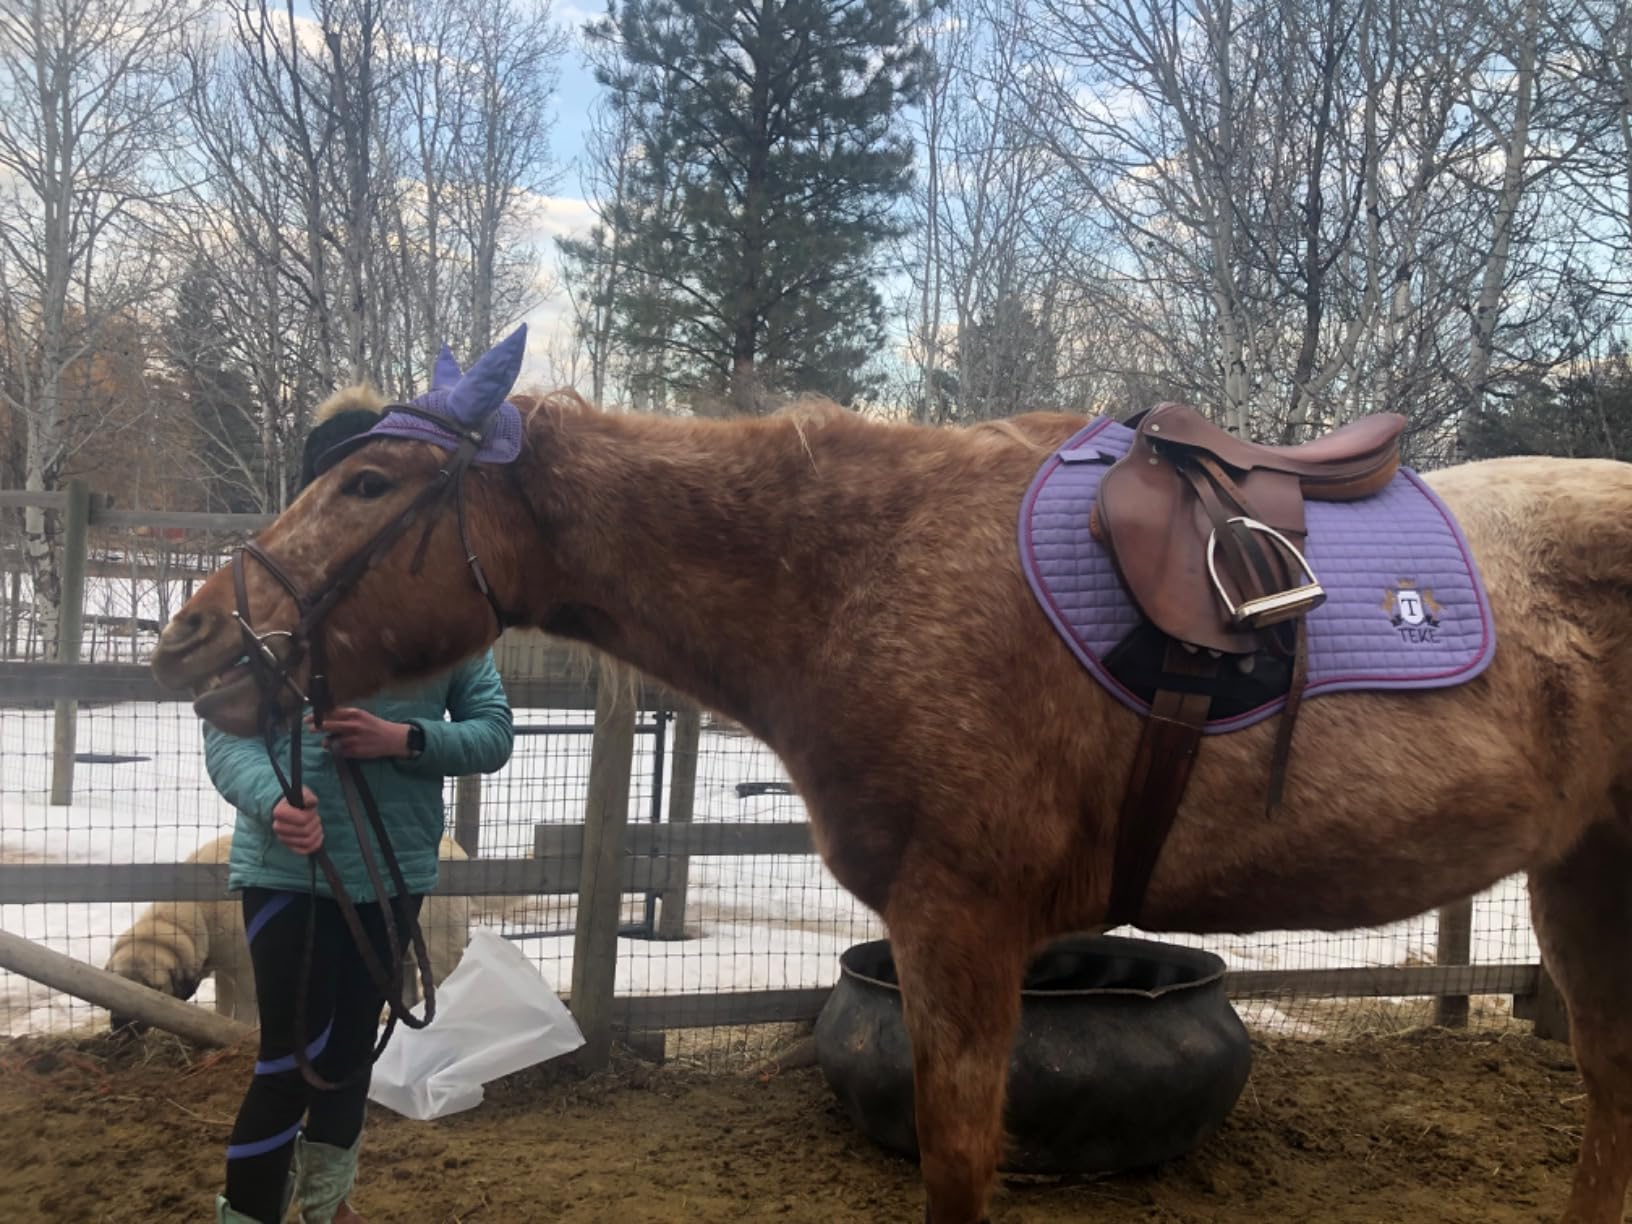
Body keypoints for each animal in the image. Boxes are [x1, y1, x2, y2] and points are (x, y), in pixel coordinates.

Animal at [150, 379, 1632, 1224]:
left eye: (369, 484)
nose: (193, 637)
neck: (859, 572)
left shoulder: (960, 930)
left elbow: (958, 1167)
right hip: (1582, 883)